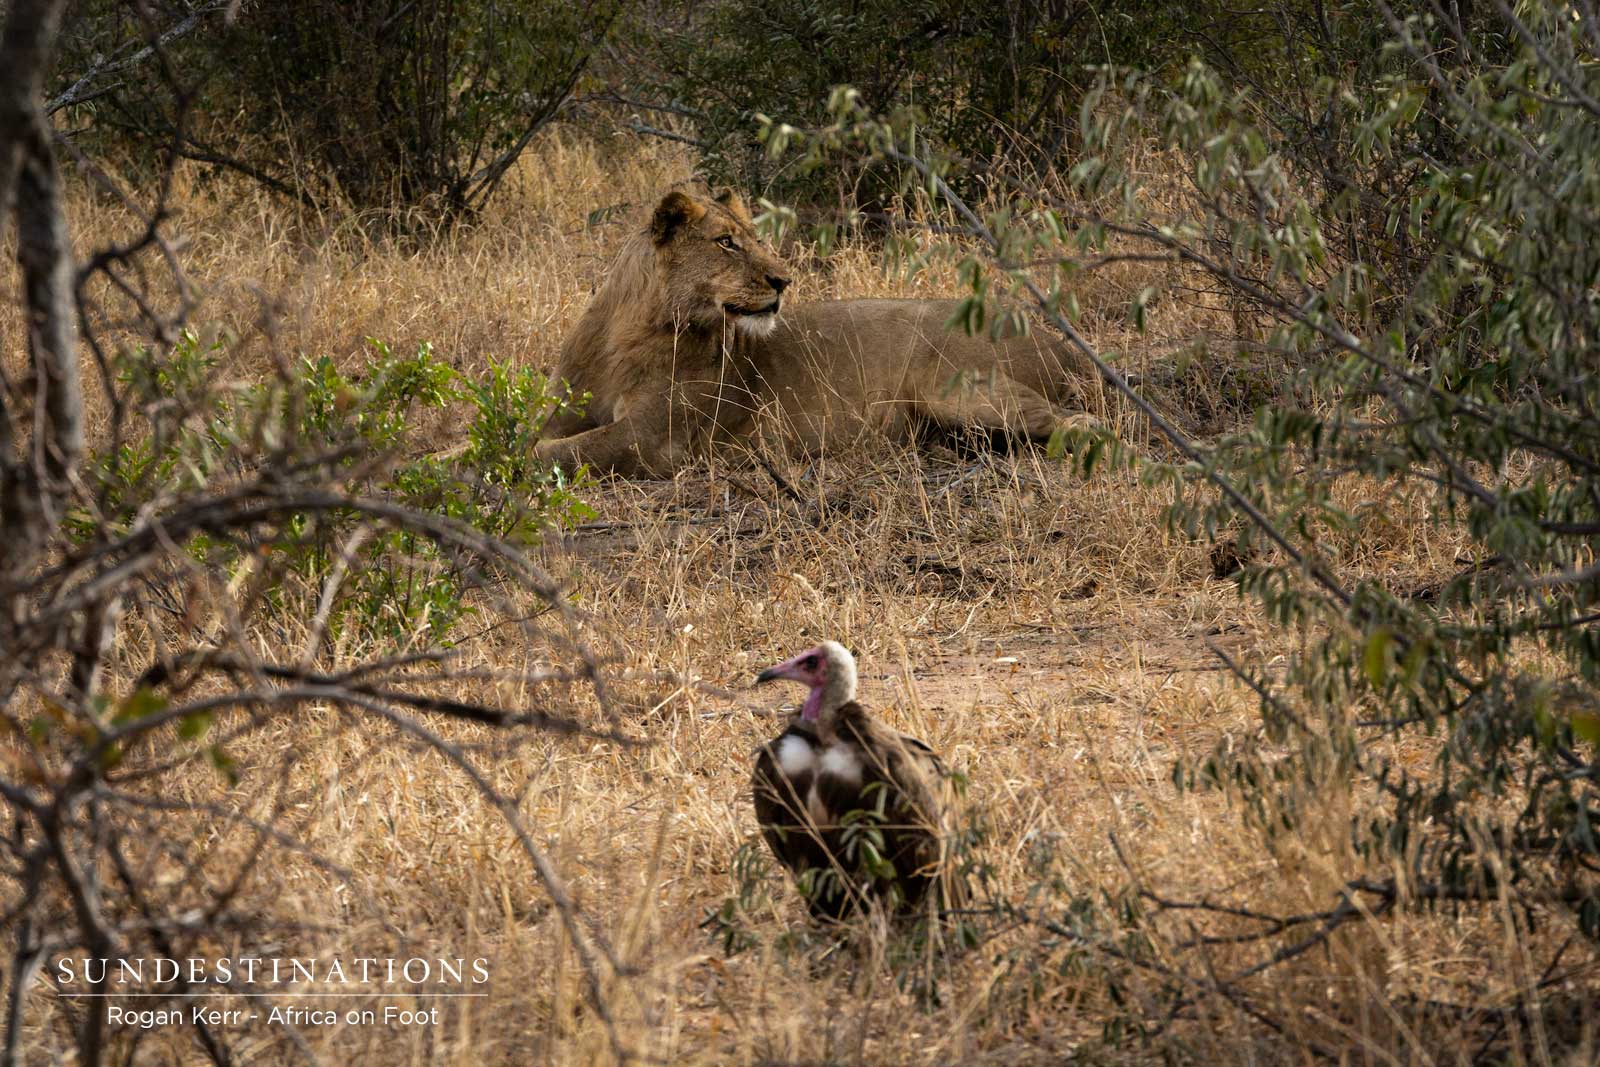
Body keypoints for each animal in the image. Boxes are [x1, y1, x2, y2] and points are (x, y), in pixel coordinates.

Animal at [535, 189, 1102, 476]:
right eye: (726, 243)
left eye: (754, 238)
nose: (783, 280)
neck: (629, 330)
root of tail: (1059, 341)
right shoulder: (567, 409)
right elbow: (533, 435)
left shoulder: (653, 440)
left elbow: (557, 453)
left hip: (950, 388)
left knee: (1080, 420)